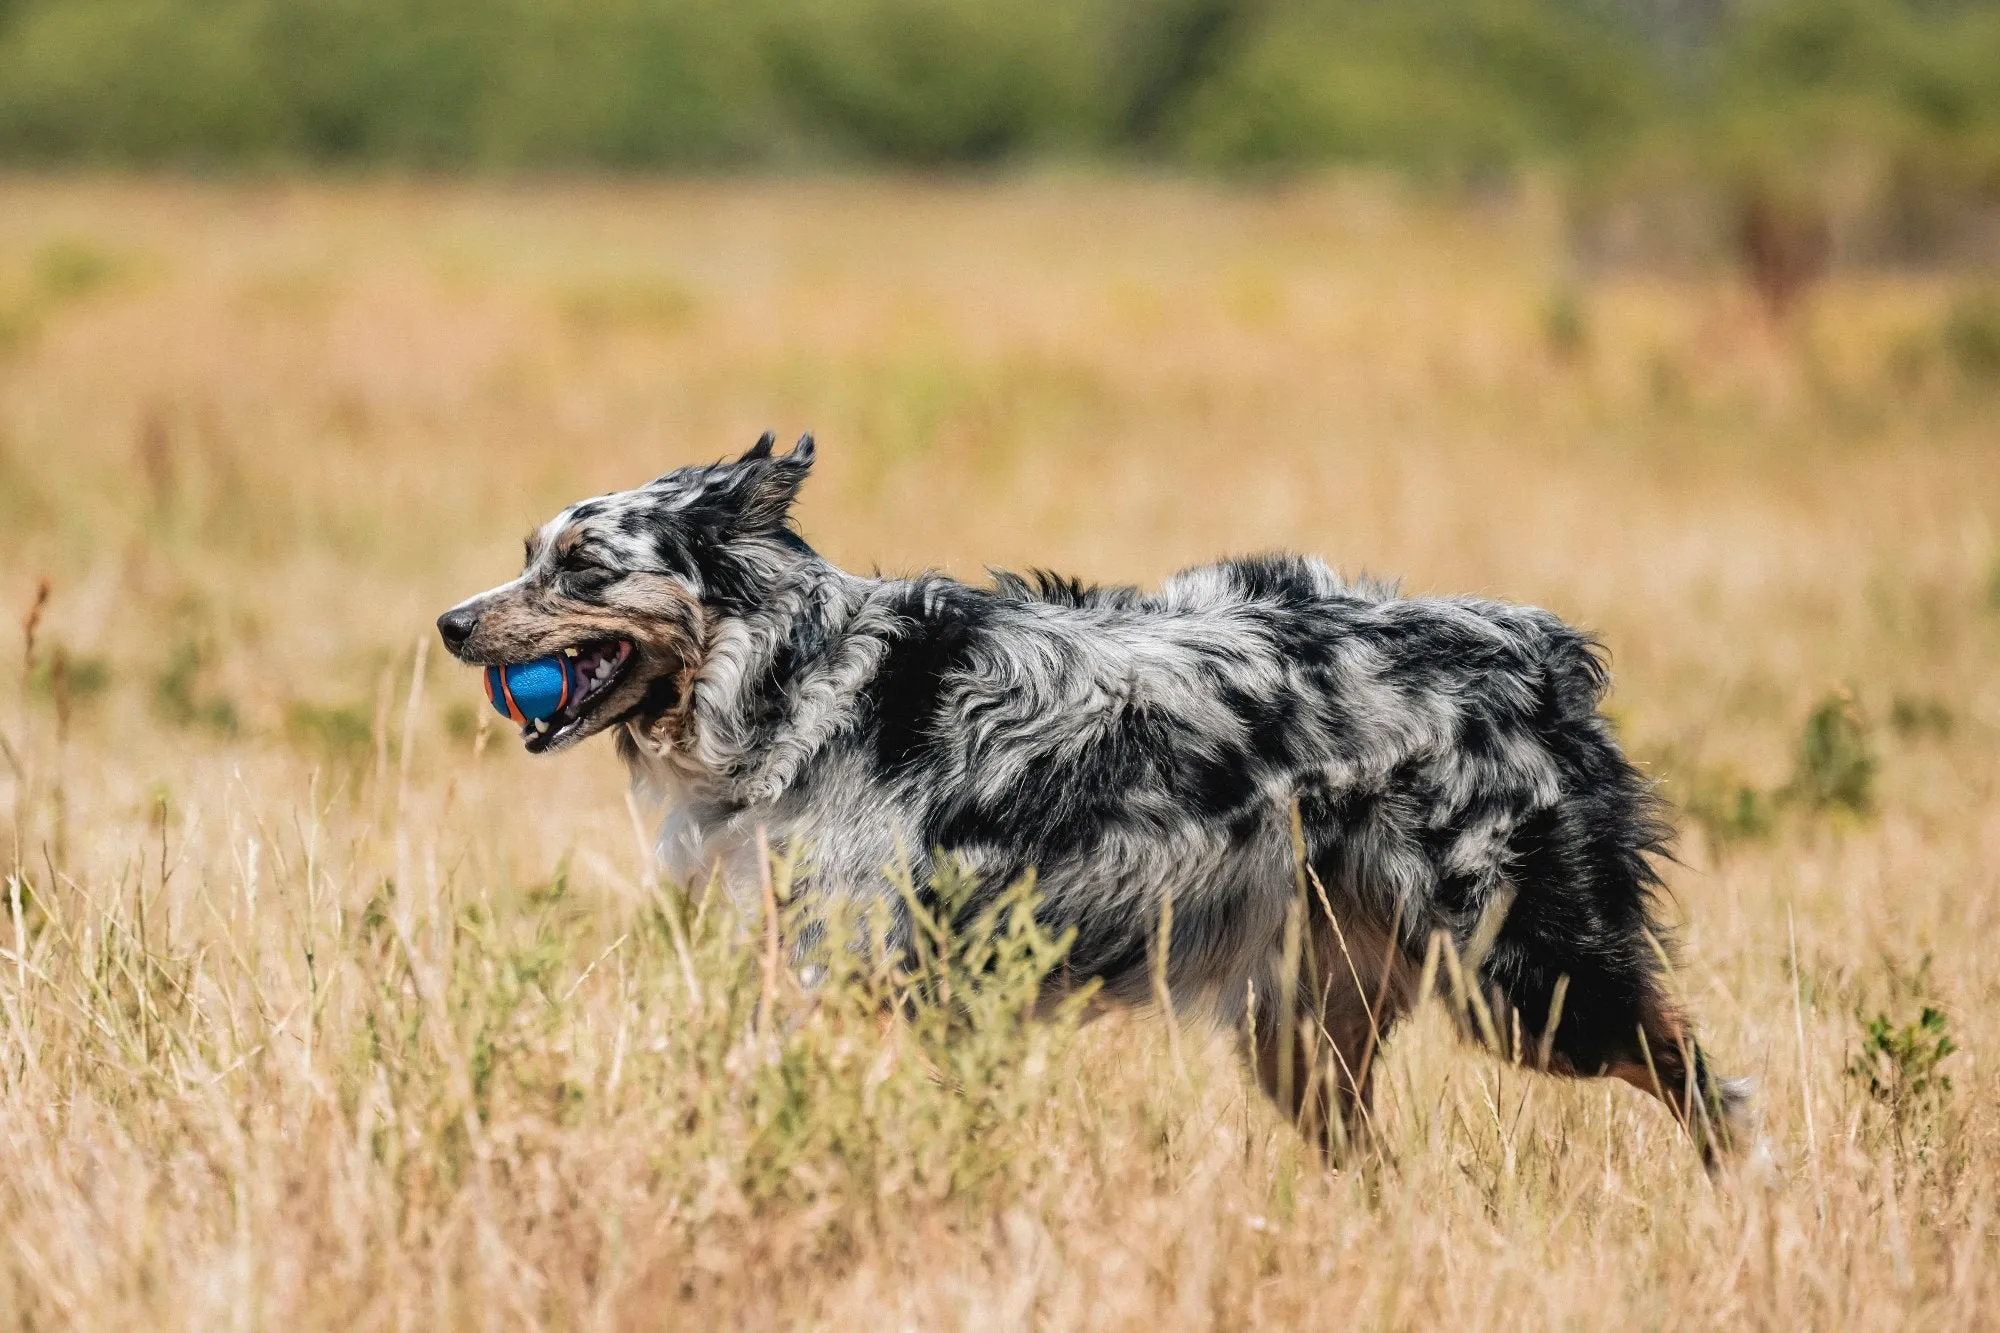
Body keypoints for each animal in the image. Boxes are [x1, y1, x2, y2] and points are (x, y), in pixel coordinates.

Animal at [442, 434, 1752, 1160]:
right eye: (526, 554)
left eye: (583, 566)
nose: (451, 623)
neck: (790, 676)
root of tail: (1537, 647)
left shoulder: (849, 979)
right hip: (1304, 1036)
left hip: (1531, 982)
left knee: (1710, 1092)